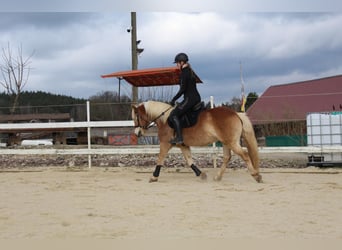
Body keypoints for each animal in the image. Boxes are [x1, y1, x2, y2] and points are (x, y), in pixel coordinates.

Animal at [132, 100, 262, 184]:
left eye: (136, 117)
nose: (137, 133)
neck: (165, 120)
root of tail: (235, 113)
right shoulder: (183, 145)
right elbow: (190, 161)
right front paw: (201, 174)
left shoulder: (165, 144)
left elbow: (159, 160)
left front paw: (153, 177)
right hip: (226, 142)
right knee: (227, 157)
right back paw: (218, 177)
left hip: (232, 142)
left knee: (245, 155)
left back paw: (256, 175)